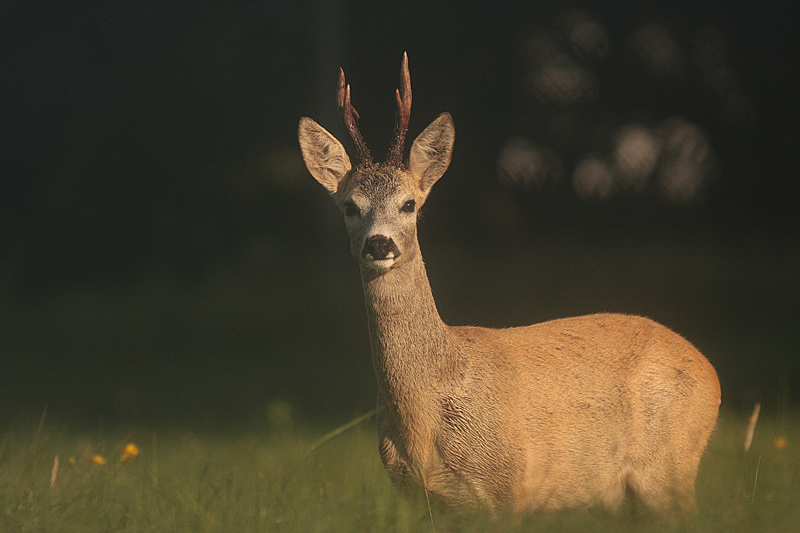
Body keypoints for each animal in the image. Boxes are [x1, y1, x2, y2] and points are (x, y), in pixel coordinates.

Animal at [296, 53, 720, 516]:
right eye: (350, 207)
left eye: (409, 203)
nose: (379, 243)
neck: (425, 416)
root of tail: (711, 373)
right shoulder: (420, 499)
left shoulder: (509, 485)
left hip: (670, 470)